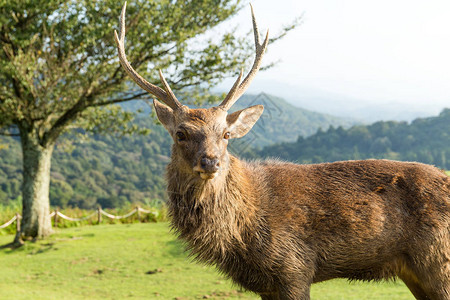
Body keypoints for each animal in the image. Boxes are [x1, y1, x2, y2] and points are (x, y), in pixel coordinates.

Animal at [113, 2, 450, 300]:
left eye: (226, 134)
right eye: (181, 133)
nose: (211, 162)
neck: (243, 234)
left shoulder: (295, 267)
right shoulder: (265, 284)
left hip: (438, 261)